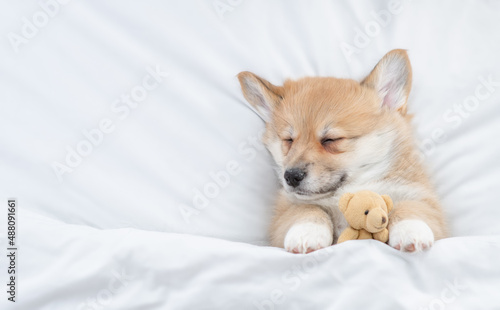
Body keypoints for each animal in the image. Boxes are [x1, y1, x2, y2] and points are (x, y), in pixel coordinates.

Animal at [238, 49, 450, 254]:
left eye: (331, 140)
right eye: (288, 140)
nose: (291, 176)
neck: (352, 189)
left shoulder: (422, 200)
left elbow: (409, 208)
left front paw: (412, 230)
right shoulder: (284, 213)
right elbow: (307, 209)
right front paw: (307, 233)